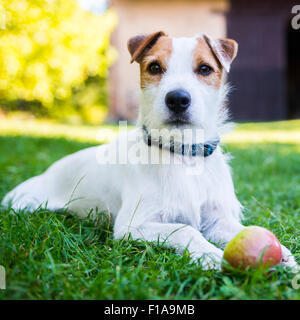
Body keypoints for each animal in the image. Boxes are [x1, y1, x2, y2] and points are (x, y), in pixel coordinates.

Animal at [2, 31, 296, 268]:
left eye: (205, 69)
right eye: (154, 67)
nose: (177, 99)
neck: (183, 154)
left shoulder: (218, 219)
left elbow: (241, 229)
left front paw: (281, 253)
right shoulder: (133, 225)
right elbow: (185, 230)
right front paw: (209, 254)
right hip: (27, 205)